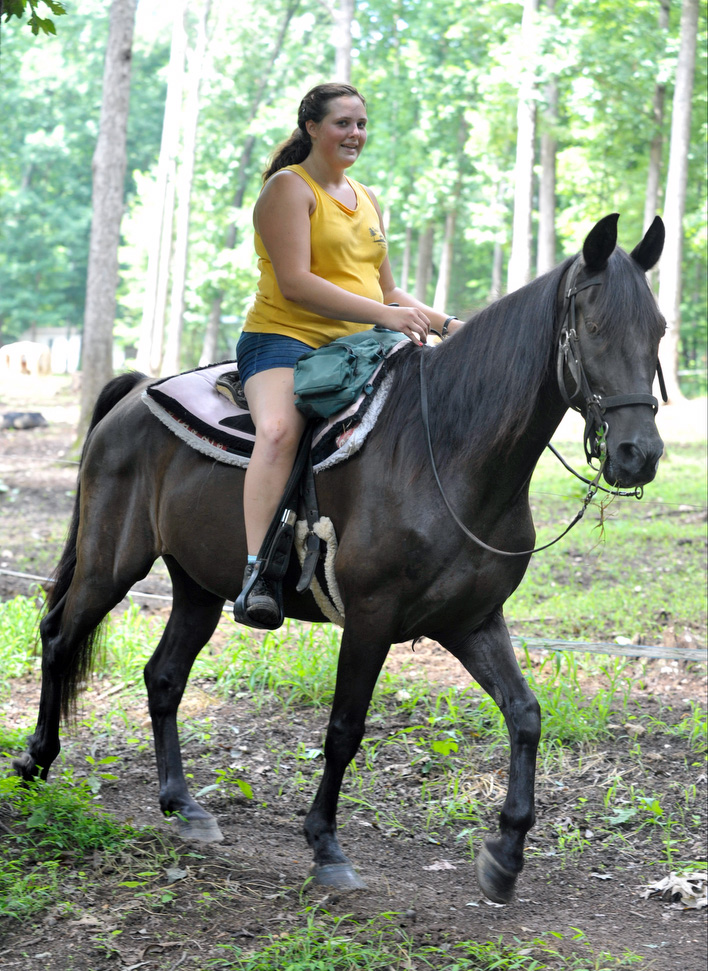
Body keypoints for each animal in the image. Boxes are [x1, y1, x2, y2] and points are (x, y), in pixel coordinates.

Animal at [18, 213, 668, 904]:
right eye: (595, 327)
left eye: (657, 330)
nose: (640, 454)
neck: (446, 452)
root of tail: (137, 390)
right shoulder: (371, 617)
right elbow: (345, 727)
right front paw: (325, 846)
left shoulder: (472, 620)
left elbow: (525, 715)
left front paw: (505, 853)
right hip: (110, 563)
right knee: (59, 636)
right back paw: (35, 760)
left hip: (196, 585)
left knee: (163, 676)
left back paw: (182, 804)